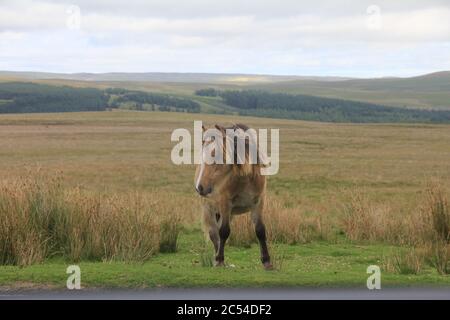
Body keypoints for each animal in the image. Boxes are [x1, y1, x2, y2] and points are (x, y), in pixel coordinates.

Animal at [192, 124, 270, 268]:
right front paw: (219, 259)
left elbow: (260, 230)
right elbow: (224, 231)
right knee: (214, 234)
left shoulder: (258, 203)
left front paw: (267, 261)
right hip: (209, 209)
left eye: (215, 154)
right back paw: (217, 257)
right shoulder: (225, 204)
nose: (200, 187)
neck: (244, 178)